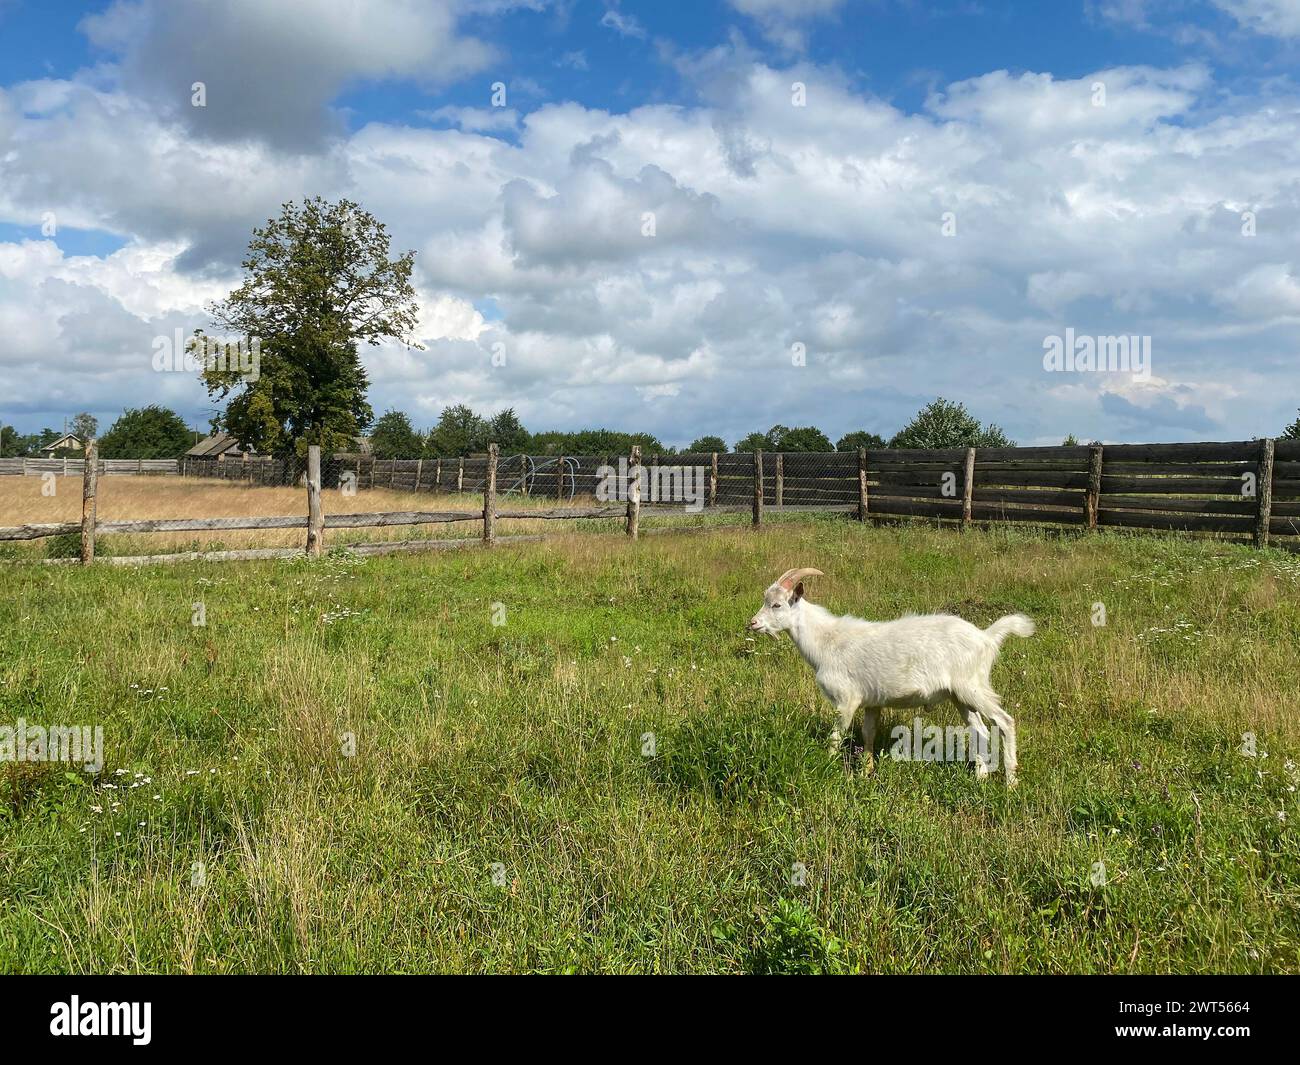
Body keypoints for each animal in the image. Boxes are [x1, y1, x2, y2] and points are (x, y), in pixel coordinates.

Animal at [747, 568, 1034, 785]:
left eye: (777, 604)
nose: (752, 623)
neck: (827, 641)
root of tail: (986, 637)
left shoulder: (846, 700)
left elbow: (836, 737)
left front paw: (825, 766)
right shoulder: (872, 702)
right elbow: (868, 734)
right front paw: (866, 772)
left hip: (972, 687)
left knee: (1005, 722)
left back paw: (1010, 782)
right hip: (960, 696)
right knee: (980, 730)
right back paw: (980, 778)